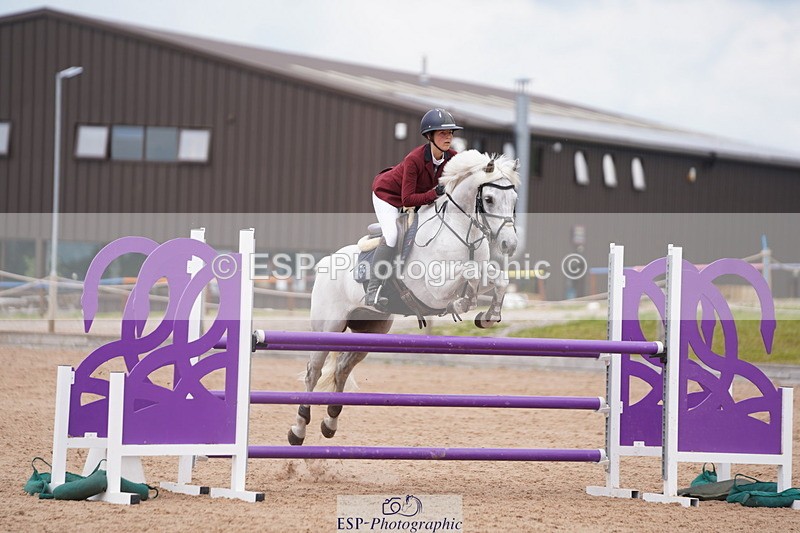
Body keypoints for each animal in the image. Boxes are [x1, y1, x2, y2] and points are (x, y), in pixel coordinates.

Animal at [287, 150, 520, 445]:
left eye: (514, 199)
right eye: (488, 199)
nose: (509, 245)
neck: (461, 231)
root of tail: (325, 261)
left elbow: (497, 279)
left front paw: (488, 316)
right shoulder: (434, 288)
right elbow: (469, 274)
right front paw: (462, 303)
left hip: (371, 330)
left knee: (342, 368)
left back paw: (330, 422)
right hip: (328, 327)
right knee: (313, 372)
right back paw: (298, 429)